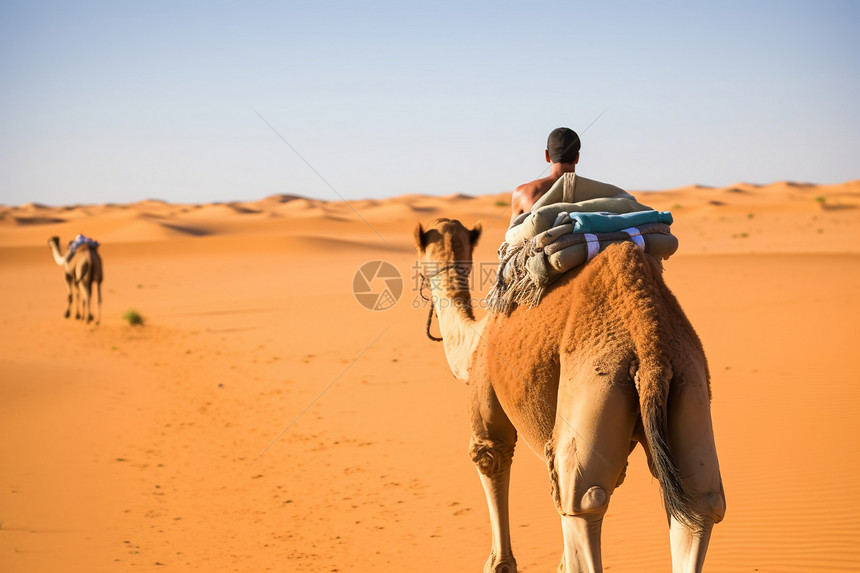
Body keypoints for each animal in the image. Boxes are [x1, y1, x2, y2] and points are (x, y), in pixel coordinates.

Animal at [414, 219, 724, 572]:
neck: (473, 342)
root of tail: (650, 344)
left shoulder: (484, 394)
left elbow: (490, 457)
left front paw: (500, 562)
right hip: (690, 381)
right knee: (701, 501)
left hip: (591, 384)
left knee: (583, 500)